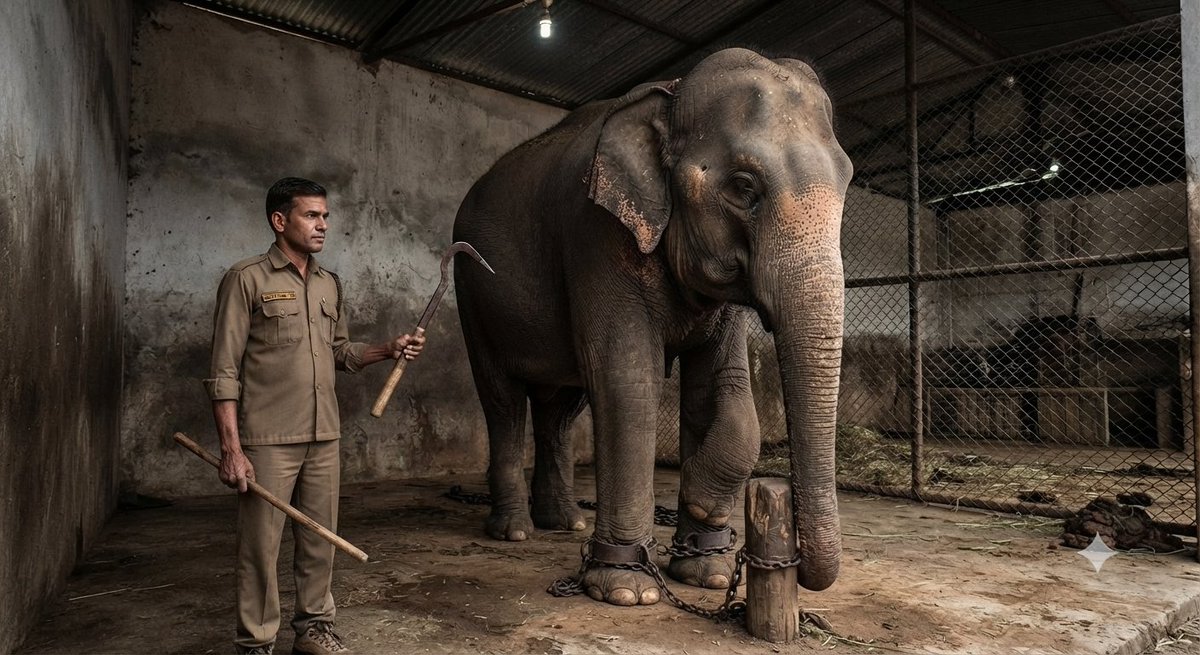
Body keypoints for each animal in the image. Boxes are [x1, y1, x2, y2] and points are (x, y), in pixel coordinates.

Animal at [452, 47, 852, 607]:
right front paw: (626, 589)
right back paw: (514, 531)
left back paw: (566, 523)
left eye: (848, 181)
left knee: (560, 409)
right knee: (503, 400)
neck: (671, 92)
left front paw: (706, 566)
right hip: (471, 291)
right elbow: (628, 377)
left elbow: (723, 386)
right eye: (743, 187)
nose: (800, 565)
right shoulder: (595, 233)